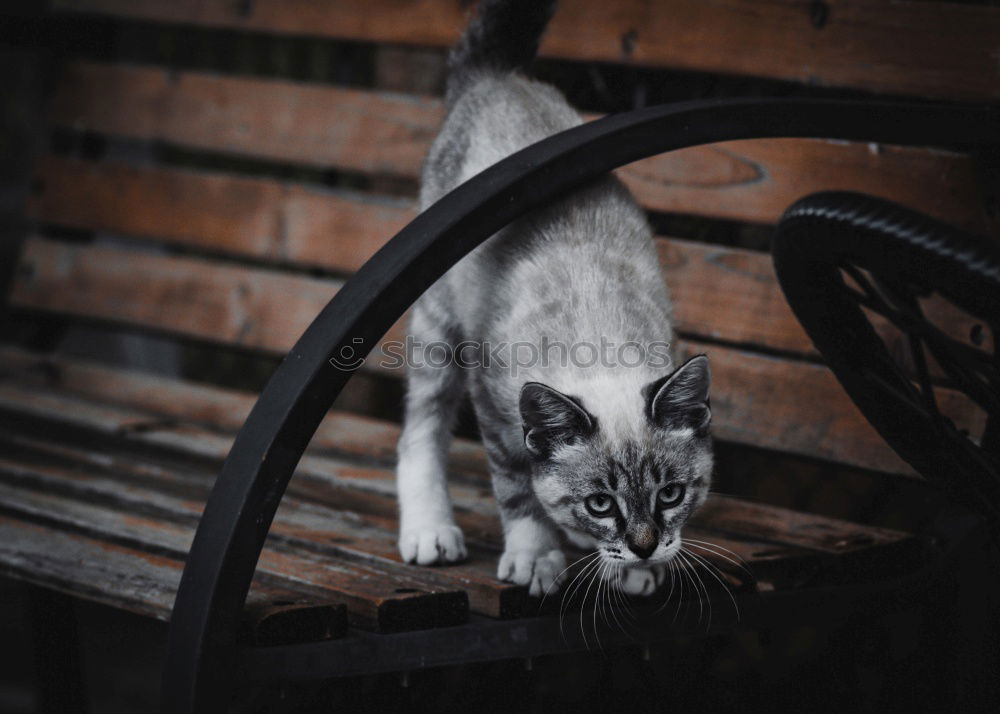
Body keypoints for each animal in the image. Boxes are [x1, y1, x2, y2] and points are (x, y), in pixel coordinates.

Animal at [394, 0, 716, 596]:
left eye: (671, 494)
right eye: (600, 503)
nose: (644, 547)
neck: (598, 332)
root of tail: (499, 78)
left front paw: (635, 570)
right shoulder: (494, 403)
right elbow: (520, 490)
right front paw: (535, 556)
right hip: (438, 322)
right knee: (420, 427)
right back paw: (429, 530)